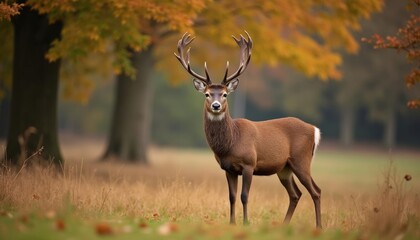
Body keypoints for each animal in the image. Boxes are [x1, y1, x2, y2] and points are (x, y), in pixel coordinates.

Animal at [174, 31, 322, 229]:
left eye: (224, 94)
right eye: (207, 94)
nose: (215, 105)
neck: (230, 143)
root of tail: (314, 129)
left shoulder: (249, 163)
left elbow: (244, 196)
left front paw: (245, 223)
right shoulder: (228, 168)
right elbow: (231, 197)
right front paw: (232, 223)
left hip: (301, 159)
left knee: (316, 191)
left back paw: (319, 226)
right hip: (285, 168)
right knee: (295, 194)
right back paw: (284, 225)